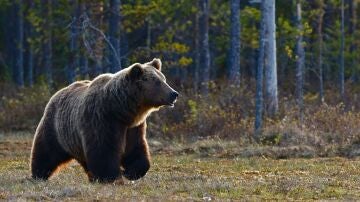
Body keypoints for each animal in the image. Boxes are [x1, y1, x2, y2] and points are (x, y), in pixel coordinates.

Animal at [29, 58, 179, 183]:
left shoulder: (133, 127)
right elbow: (103, 150)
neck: (121, 110)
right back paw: (39, 174)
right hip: (56, 128)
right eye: (157, 82)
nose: (174, 94)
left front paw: (130, 172)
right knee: (46, 151)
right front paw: (111, 176)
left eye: (164, 79)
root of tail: (57, 93)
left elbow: (136, 149)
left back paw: (91, 177)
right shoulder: (102, 119)